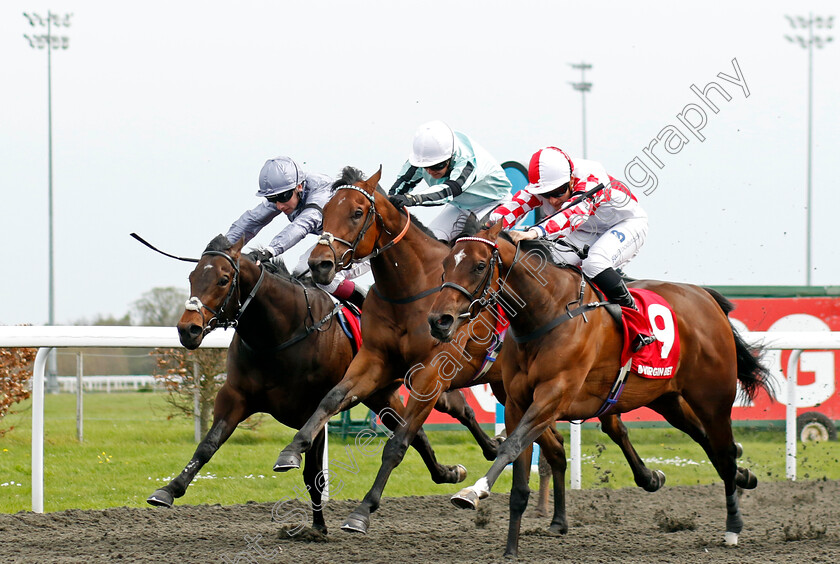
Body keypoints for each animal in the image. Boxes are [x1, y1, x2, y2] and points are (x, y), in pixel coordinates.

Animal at [147, 231, 498, 532]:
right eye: (192, 277)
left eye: (223, 279)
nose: (188, 329)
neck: (278, 334)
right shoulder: (235, 397)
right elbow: (207, 445)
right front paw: (169, 489)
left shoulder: (311, 410)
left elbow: (312, 472)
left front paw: (317, 527)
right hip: (379, 394)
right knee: (416, 433)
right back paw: (450, 472)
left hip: (423, 380)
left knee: (461, 411)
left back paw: (491, 450)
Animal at [272, 166, 508, 532]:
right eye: (323, 213)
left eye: (357, 212)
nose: (320, 263)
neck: (410, 290)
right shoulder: (376, 362)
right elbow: (332, 398)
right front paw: (293, 449)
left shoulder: (431, 374)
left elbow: (398, 443)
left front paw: (363, 510)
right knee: (467, 412)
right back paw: (493, 452)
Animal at [426, 223, 776, 556]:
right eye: (445, 263)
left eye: (479, 265)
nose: (439, 320)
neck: (547, 312)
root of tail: (705, 297)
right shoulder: (516, 403)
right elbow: (518, 479)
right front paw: (510, 548)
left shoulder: (552, 397)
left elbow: (510, 447)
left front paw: (473, 492)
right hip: (669, 399)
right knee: (709, 442)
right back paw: (738, 481)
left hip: (713, 398)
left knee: (724, 449)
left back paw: (733, 527)